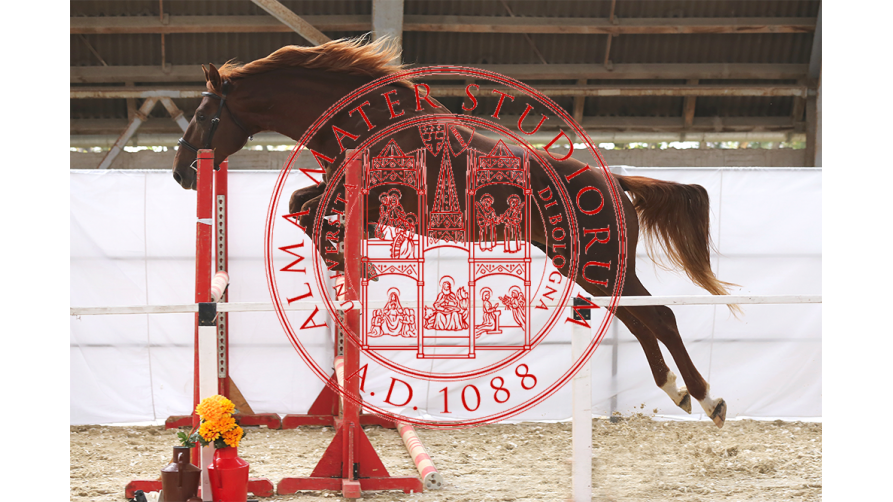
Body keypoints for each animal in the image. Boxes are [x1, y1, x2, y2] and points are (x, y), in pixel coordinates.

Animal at [172, 37, 732, 428]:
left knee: (659, 316)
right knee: (639, 319)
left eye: (201, 114)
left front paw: (349, 262)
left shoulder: (379, 200)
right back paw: (678, 391)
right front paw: (348, 261)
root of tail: (614, 180)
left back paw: (708, 398)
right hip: (587, 266)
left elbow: (308, 212)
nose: (181, 173)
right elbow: (301, 207)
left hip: (601, 263)